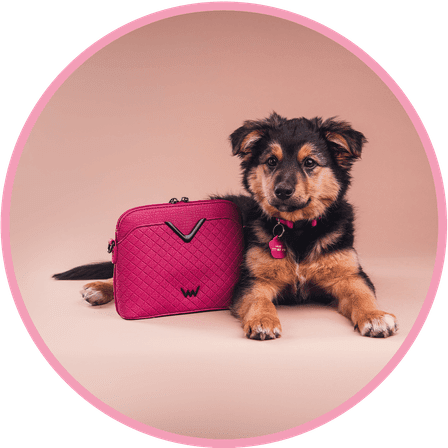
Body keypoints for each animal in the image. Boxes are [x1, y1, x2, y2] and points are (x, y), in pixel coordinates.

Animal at [54, 113, 398, 339]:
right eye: (271, 161)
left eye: (310, 163)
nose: (282, 191)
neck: (297, 230)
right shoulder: (252, 280)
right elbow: (259, 300)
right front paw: (263, 320)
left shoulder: (350, 275)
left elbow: (362, 296)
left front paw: (376, 317)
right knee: (118, 273)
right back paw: (99, 288)